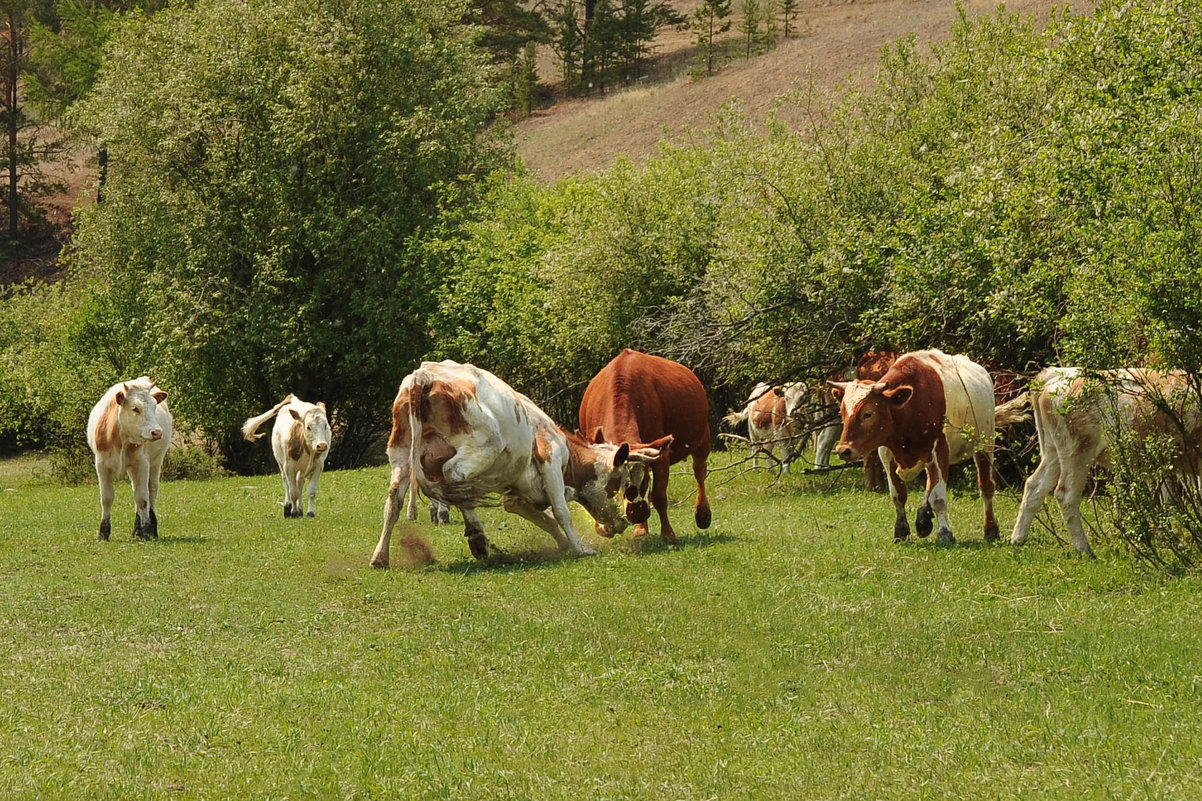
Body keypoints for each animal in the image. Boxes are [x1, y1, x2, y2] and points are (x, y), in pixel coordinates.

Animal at [87, 375, 174, 538]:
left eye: (154, 407)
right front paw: (103, 533)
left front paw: (146, 531)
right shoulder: (101, 465)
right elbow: (106, 498)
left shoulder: (142, 463)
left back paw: (150, 528)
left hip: (155, 462)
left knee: (151, 491)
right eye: (135, 408)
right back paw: (136, 529)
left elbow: (143, 498)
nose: (157, 432)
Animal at [367, 358, 668, 565]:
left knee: (394, 499)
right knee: (455, 479)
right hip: (482, 447)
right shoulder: (550, 457)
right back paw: (477, 536)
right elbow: (561, 511)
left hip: (401, 455)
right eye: (623, 482)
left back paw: (380, 557)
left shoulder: (517, 494)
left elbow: (545, 518)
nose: (623, 522)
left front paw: (562, 543)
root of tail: (423, 375)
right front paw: (580, 548)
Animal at [576, 348, 706, 543]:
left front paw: (668, 534)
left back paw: (703, 515)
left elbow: (659, 497)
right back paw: (641, 529)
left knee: (699, 472)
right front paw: (604, 527)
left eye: (645, 480)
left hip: (703, 438)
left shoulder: (661, 454)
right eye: (618, 482)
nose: (638, 514)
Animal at [831, 348, 1028, 543]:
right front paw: (901, 531)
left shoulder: (939, 450)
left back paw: (990, 529)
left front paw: (945, 533)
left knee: (986, 486)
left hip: (984, 443)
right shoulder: (886, 454)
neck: (909, 410)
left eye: (868, 413)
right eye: (842, 412)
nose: (843, 450)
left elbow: (938, 498)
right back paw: (923, 519)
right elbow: (898, 495)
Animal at [1009, 365, 1197, 555]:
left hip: (1053, 450)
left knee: (1035, 486)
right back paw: (1084, 550)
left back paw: (1018, 539)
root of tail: (1059, 373)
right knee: (1066, 495)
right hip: (1077, 451)